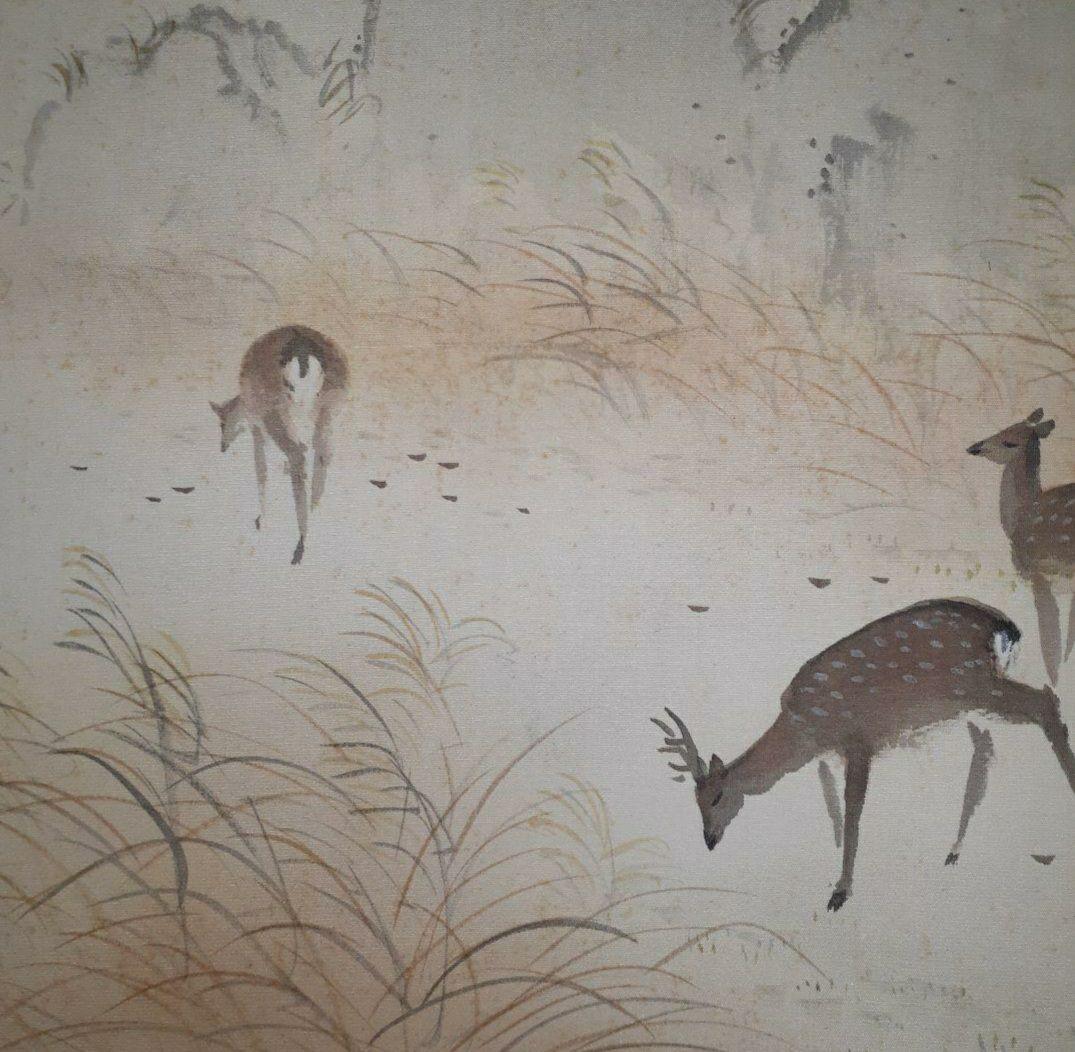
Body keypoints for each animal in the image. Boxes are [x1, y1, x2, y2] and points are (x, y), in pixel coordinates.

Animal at [211, 325, 349, 565]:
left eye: (222, 422)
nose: (222, 446)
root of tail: (302, 351)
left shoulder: (258, 427)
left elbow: (262, 469)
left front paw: (261, 520)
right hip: (327, 410)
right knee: (321, 456)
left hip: (276, 412)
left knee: (297, 455)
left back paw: (298, 547)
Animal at [652, 598, 1075, 911]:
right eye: (695, 801)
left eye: (717, 797)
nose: (709, 840)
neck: (803, 733)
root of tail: (1007, 629)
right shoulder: (829, 755)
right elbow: (832, 807)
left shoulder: (859, 739)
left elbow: (854, 813)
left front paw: (839, 893)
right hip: (966, 703)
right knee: (986, 744)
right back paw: (953, 851)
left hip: (976, 685)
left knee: (1046, 701)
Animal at [967, 408, 1074, 685]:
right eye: (1003, 429)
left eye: (1009, 442)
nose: (975, 447)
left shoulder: (1040, 572)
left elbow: (1051, 643)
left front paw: (1054, 682)